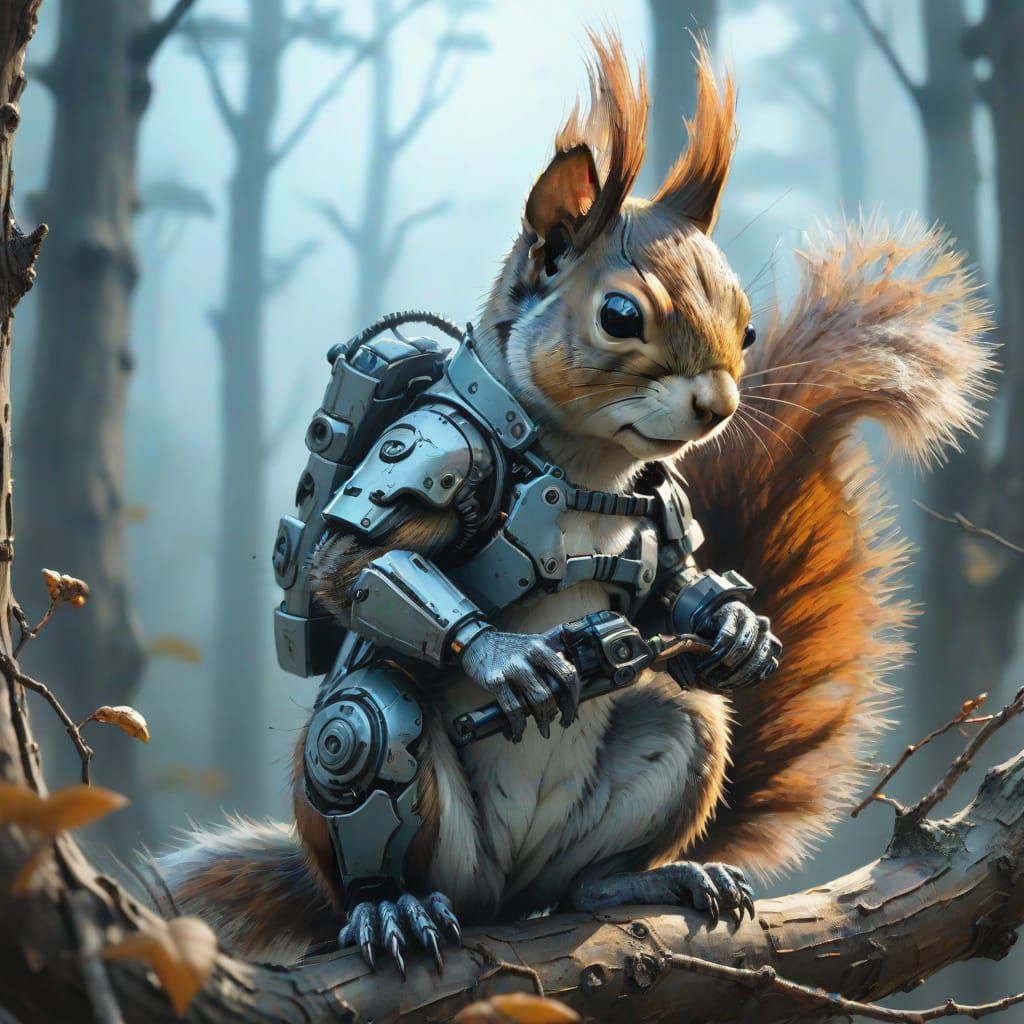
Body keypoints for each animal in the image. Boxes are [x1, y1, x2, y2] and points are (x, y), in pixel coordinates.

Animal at [153, 35, 993, 969]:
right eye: (620, 315)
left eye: (746, 325)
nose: (719, 406)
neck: (588, 463)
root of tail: (506, 893)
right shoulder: (437, 445)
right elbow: (356, 563)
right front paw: (508, 660)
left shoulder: (665, 505)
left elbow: (673, 584)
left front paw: (737, 627)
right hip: (405, 810)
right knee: (365, 734)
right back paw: (391, 907)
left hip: (666, 749)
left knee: (620, 817)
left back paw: (654, 880)